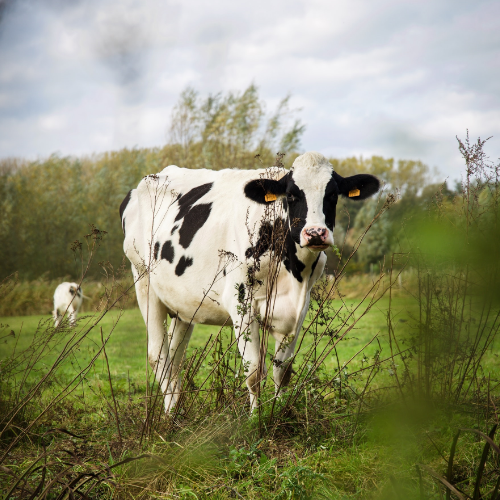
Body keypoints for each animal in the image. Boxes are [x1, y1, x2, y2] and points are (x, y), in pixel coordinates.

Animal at [121, 151, 378, 410]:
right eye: (291, 195)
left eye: (333, 194)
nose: (315, 233)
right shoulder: (240, 301)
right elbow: (254, 371)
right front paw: (256, 417)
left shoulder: (298, 307)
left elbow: (282, 372)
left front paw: (278, 411)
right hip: (143, 281)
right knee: (158, 356)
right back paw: (169, 412)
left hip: (183, 305)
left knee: (175, 358)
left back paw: (175, 412)